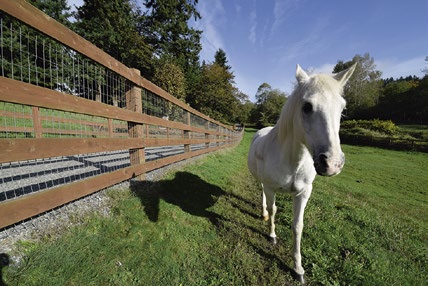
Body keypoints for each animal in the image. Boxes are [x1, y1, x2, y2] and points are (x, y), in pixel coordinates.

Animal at [246, 63, 356, 282]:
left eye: (342, 108)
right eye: (307, 107)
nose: (332, 163)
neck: (292, 160)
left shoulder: (303, 193)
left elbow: (298, 226)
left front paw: (298, 269)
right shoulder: (271, 188)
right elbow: (273, 210)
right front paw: (272, 236)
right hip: (262, 183)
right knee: (262, 195)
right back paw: (263, 214)